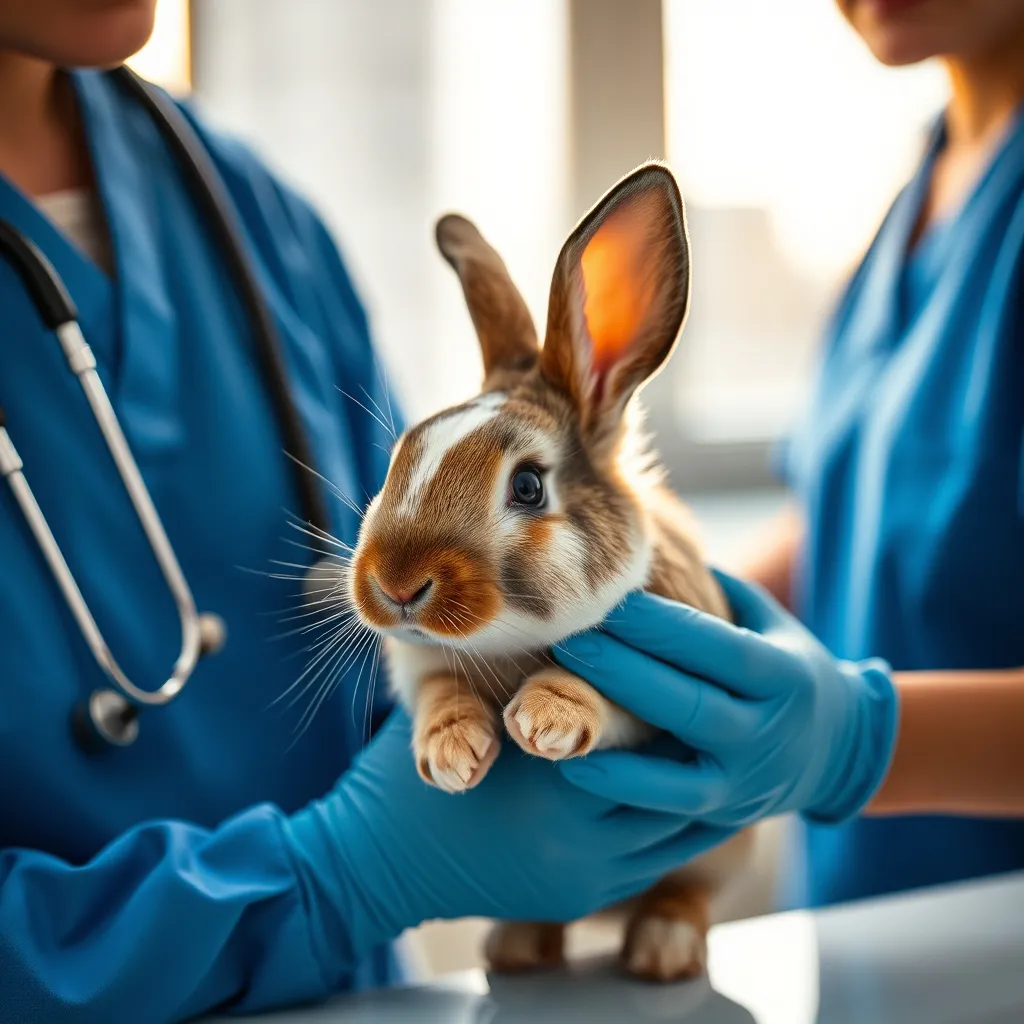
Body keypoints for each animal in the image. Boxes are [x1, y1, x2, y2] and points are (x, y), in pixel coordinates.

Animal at [347, 161, 754, 982]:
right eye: (402, 452)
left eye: (529, 486)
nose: (395, 586)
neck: (505, 644)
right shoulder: (420, 668)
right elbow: (438, 690)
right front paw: (451, 753)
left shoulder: (660, 713)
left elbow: (604, 698)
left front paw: (547, 719)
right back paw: (517, 948)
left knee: (686, 896)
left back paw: (661, 950)